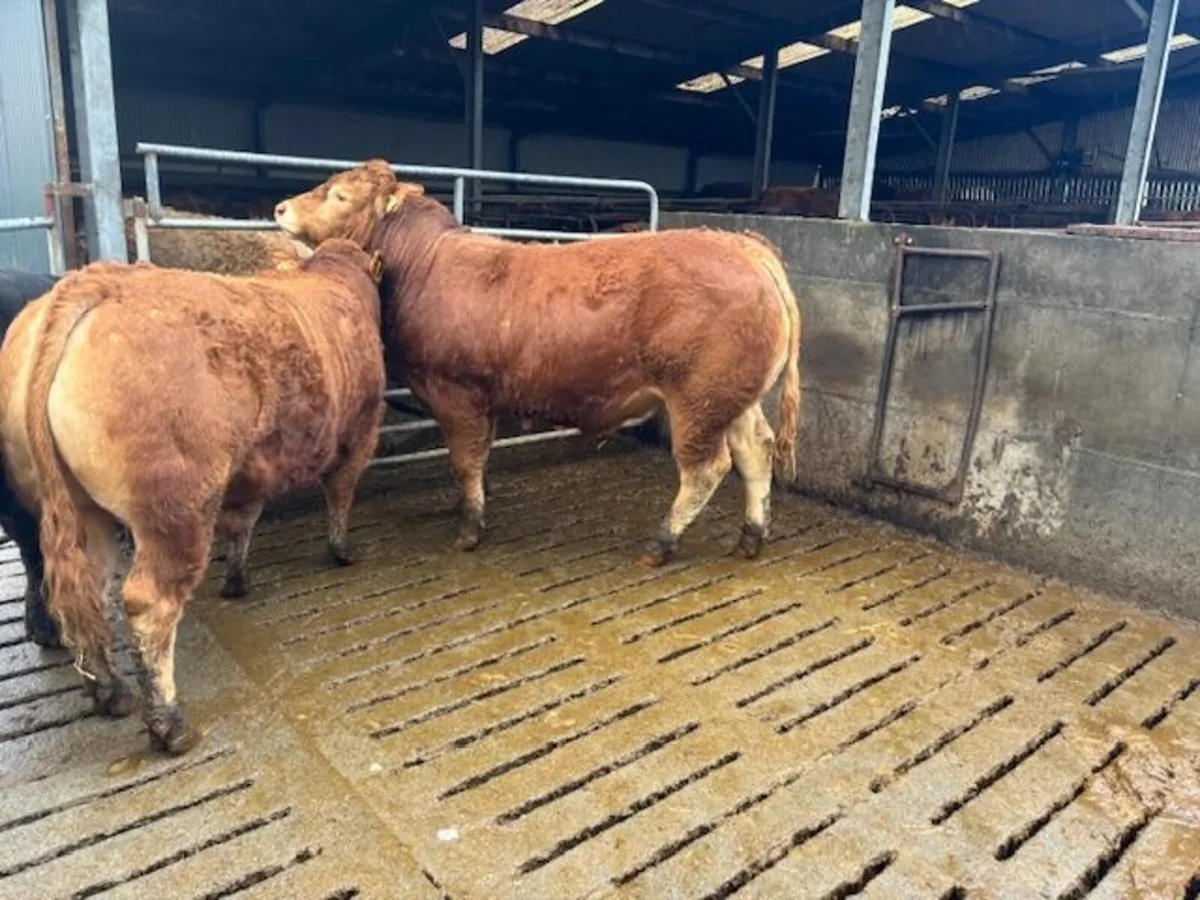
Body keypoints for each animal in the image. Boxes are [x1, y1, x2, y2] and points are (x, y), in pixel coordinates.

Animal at [25, 239, 386, 754]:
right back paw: (169, 724)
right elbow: (339, 493)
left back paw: (110, 693)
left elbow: (243, 521)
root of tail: (101, 280)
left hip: (83, 511)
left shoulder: (253, 466)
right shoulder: (360, 432)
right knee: (149, 604)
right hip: (175, 510)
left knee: (87, 592)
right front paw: (342, 550)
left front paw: (237, 579)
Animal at [274, 160, 802, 568]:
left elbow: (466, 461)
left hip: (699, 398)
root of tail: (742, 245)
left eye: (339, 195)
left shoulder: (456, 394)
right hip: (733, 397)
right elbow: (478, 459)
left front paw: (469, 530)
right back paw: (751, 538)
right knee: (755, 451)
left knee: (706, 469)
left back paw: (661, 542)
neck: (425, 264)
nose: (280, 208)